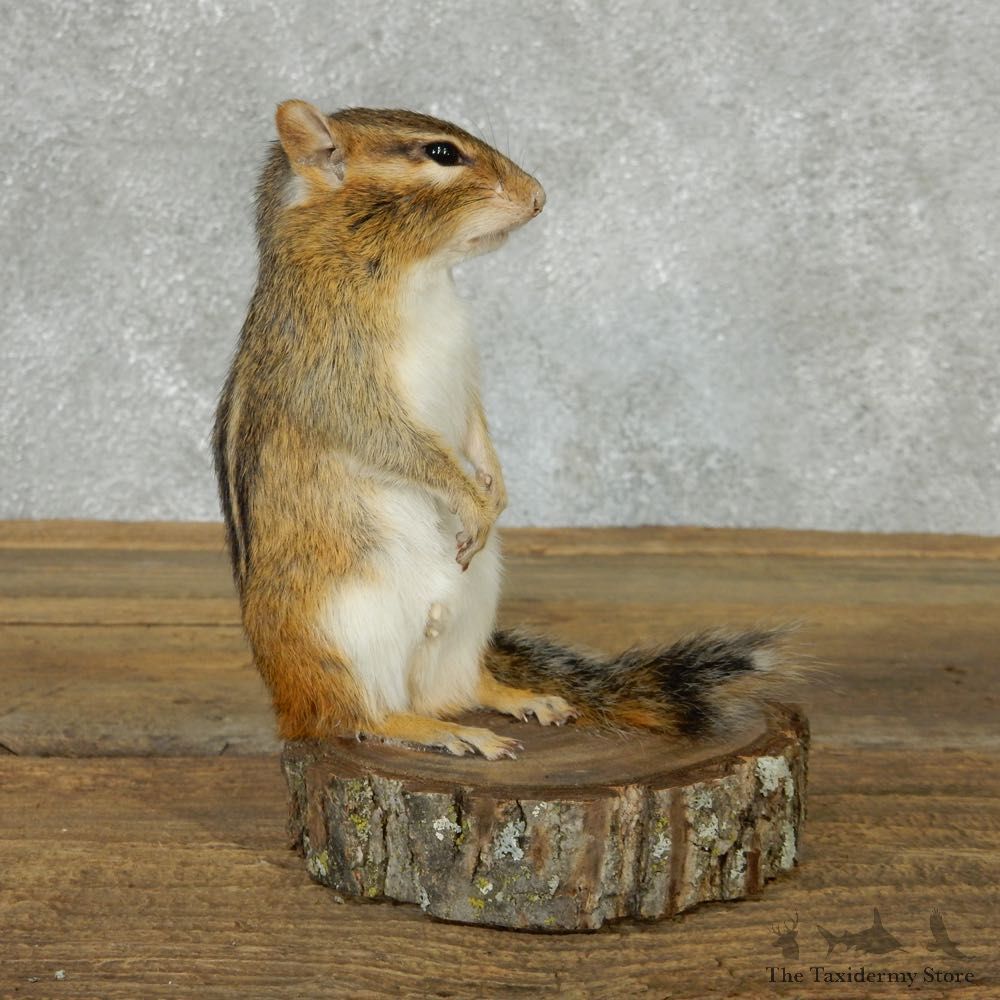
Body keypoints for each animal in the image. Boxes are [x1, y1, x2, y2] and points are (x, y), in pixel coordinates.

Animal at [213, 100, 801, 760]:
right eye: (442, 153)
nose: (539, 196)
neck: (418, 275)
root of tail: (286, 707)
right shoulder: (337, 379)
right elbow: (398, 442)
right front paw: (471, 497)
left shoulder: (466, 373)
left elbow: (475, 426)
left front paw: (495, 491)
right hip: (339, 633)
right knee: (357, 715)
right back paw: (442, 733)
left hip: (474, 602)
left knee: (457, 687)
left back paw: (519, 700)